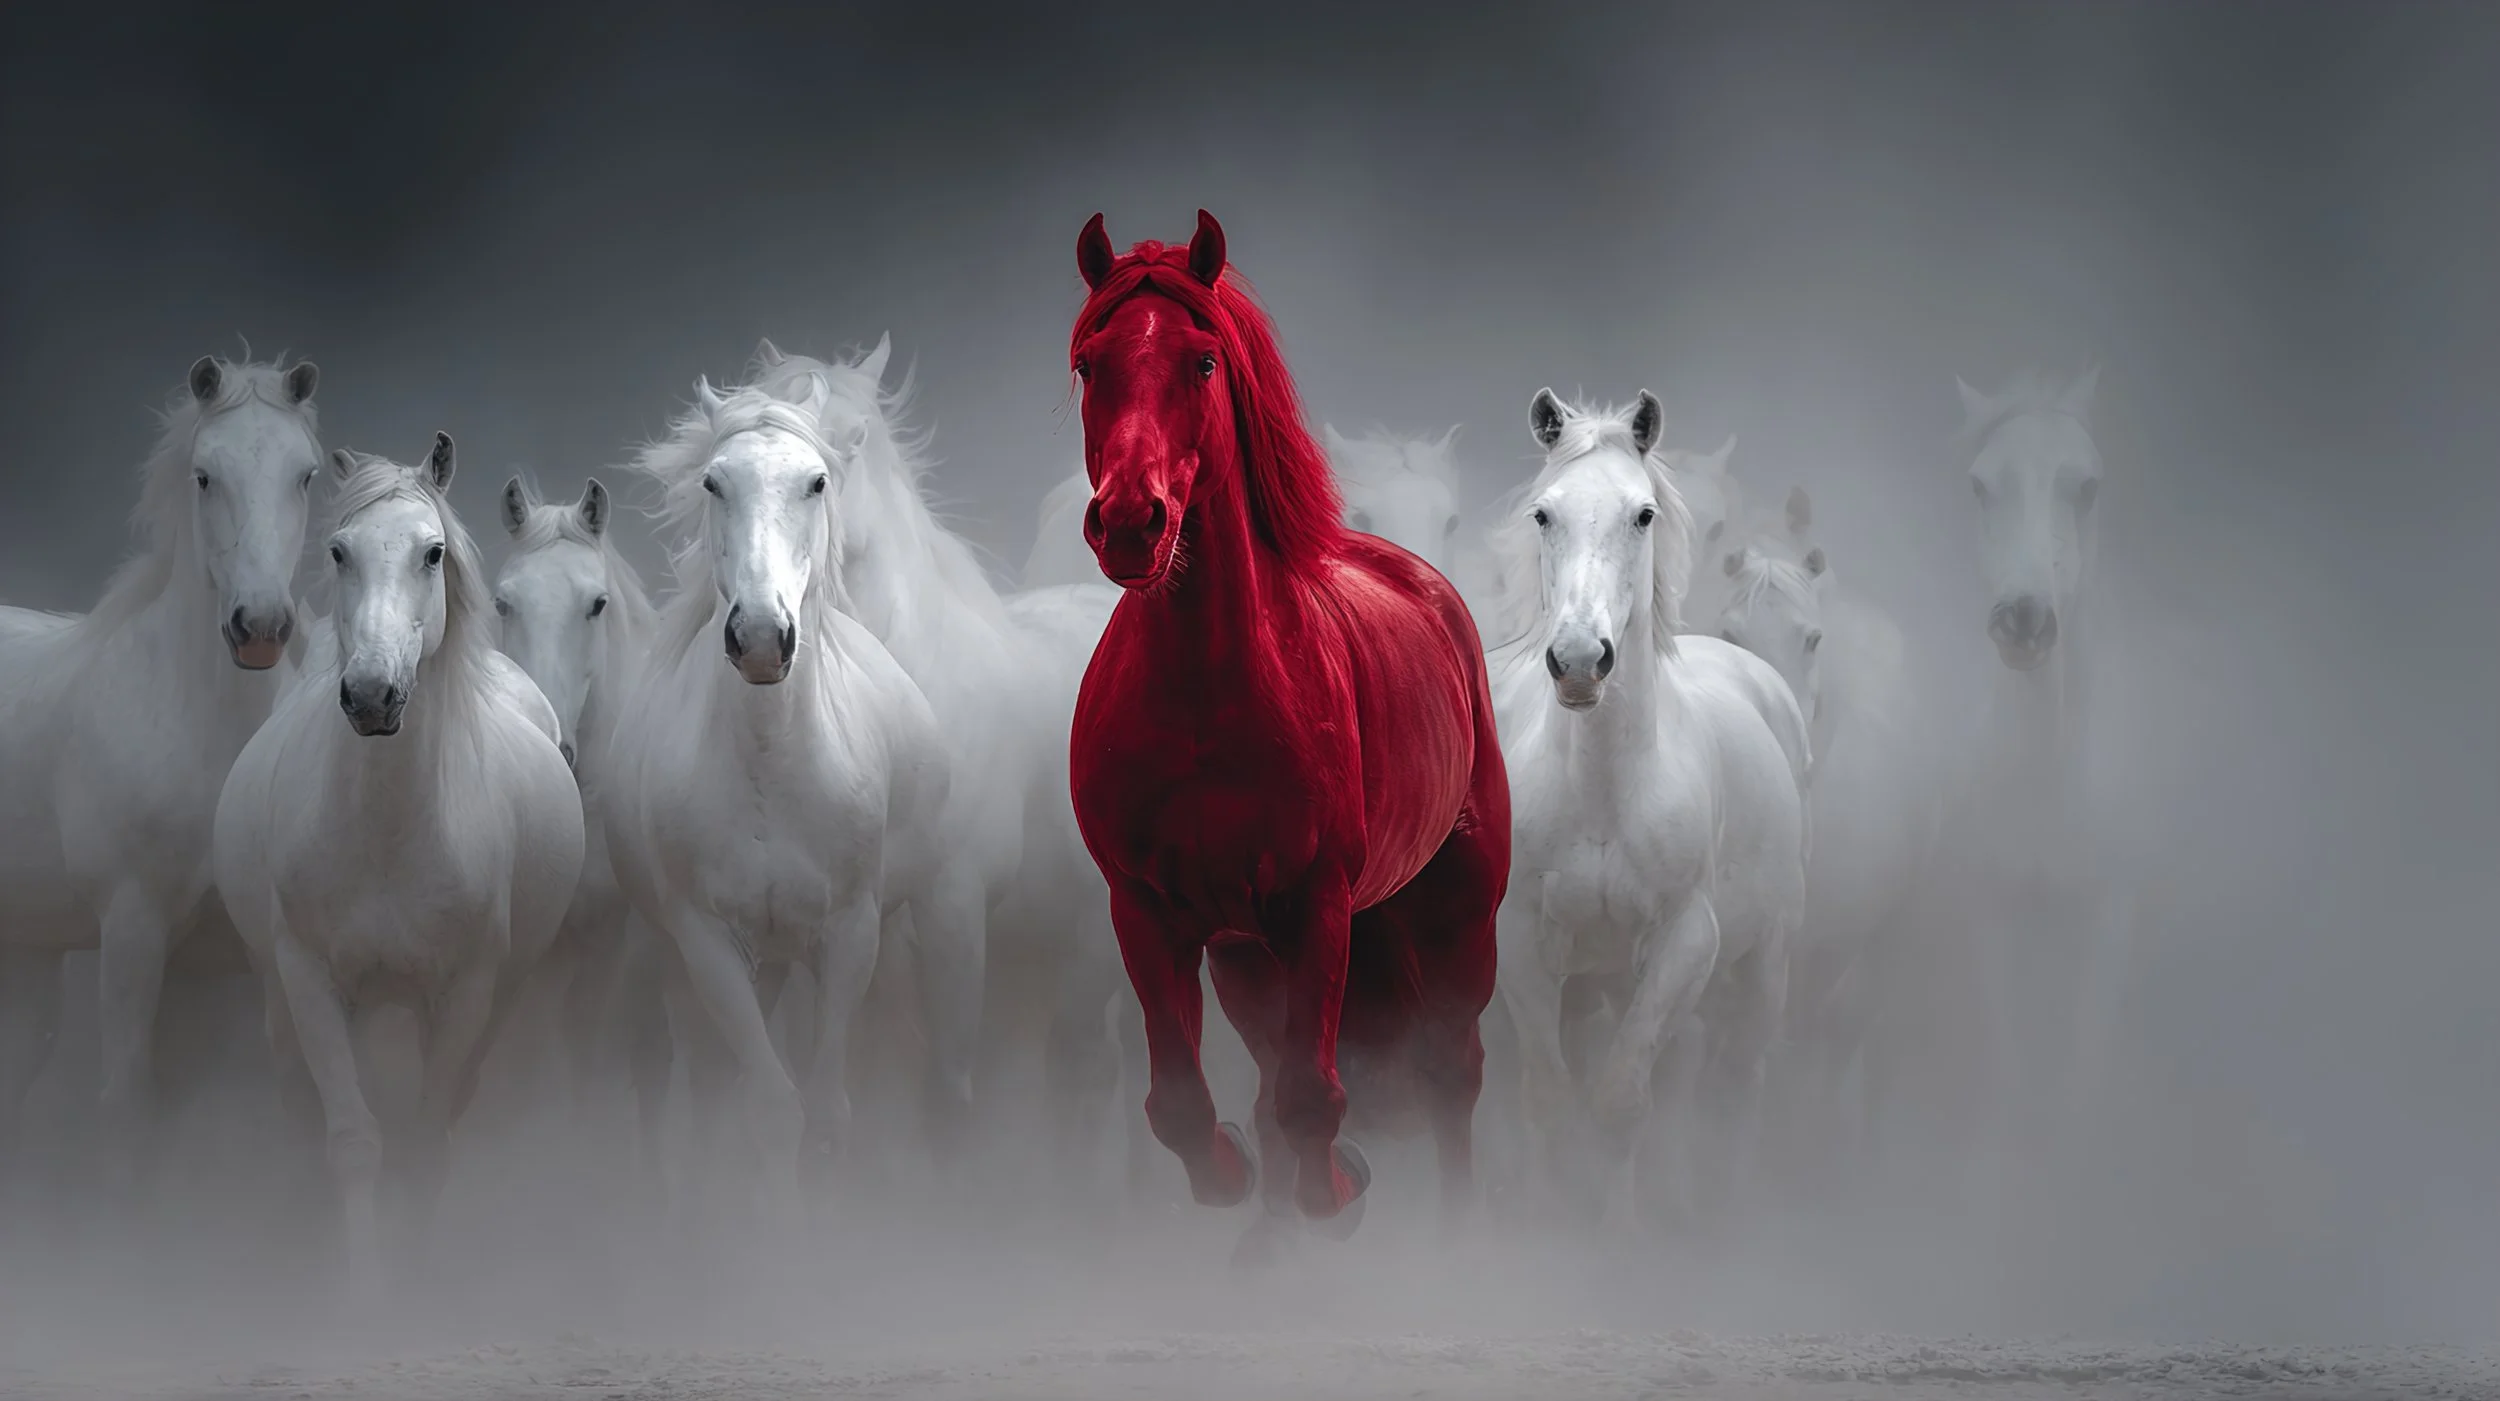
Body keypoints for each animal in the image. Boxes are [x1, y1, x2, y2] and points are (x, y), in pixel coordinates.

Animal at [0, 353, 322, 1182]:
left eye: (305, 475)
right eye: (205, 476)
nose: (260, 627)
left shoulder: (253, 961)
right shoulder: (134, 931)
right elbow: (128, 1112)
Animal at [212, 434, 585, 1300]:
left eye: (432, 552)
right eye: (340, 551)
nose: (373, 694)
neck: (387, 833)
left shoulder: (467, 991)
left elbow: (422, 1141)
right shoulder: (309, 979)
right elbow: (352, 1139)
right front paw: (359, 1294)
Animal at [602, 366, 948, 1216]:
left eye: (816, 482)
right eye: (713, 482)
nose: (760, 635)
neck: (771, 773)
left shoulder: (852, 932)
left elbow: (828, 1110)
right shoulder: (706, 941)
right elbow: (769, 1107)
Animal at [1482, 388, 1808, 1233]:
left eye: (1643, 514)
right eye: (1544, 513)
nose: (1578, 661)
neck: (1605, 795)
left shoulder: (1684, 944)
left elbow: (1622, 1099)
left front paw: (1621, 1232)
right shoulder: (1521, 943)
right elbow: (1548, 1097)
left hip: (1763, 965)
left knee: (1739, 1077)